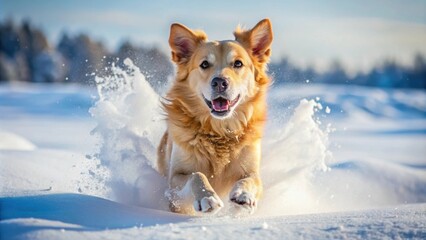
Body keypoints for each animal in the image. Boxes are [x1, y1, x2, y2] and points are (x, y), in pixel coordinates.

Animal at [157, 17, 272, 215]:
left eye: (238, 64)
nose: (219, 82)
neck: (219, 131)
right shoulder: (175, 184)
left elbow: (251, 179)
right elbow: (196, 175)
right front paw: (207, 197)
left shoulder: (251, 170)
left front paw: (243, 194)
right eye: (204, 64)